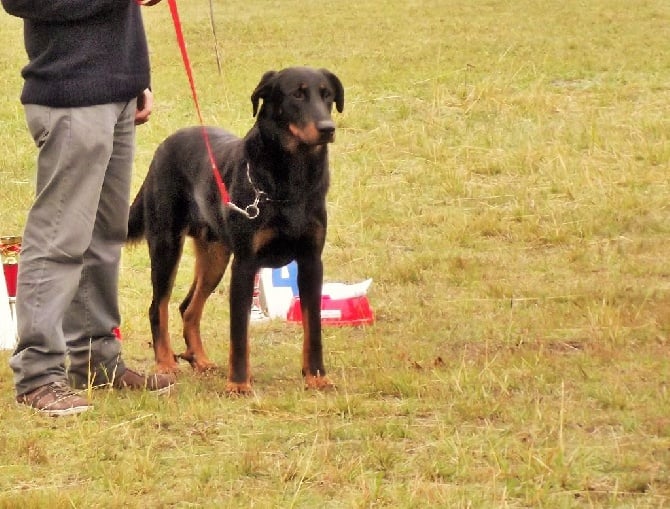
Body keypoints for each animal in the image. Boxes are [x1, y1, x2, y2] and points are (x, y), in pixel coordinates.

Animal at [127, 66, 346, 392]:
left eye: (327, 95)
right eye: (297, 94)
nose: (327, 128)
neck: (290, 179)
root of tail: (163, 147)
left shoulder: (310, 262)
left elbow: (314, 327)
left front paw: (316, 377)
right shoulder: (244, 264)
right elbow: (239, 334)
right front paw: (239, 384)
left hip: (215, 256)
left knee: (188, 308)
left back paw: (200, 360)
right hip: (167, 245)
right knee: (159, 306)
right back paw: (166, 363)